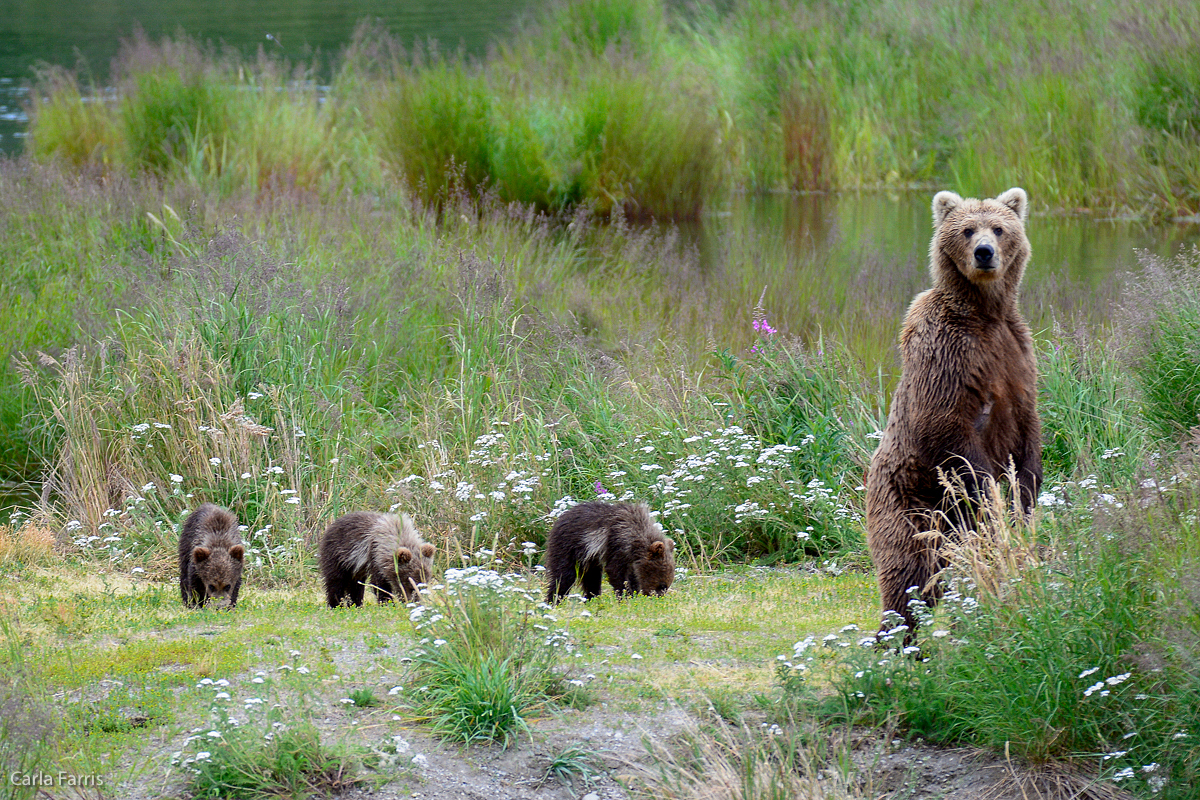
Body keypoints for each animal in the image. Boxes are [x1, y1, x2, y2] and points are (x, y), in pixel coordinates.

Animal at [544, 503, 676, 604]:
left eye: (666, 585)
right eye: (662, 585)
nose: (657, 597)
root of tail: (559, 519)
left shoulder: (630, 558)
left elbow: (632, 576)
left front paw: (633, 593)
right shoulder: (616, 544)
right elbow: (615, 572)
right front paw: (626, 596)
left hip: (589, 558)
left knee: (592, 577)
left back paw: (593, 599)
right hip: (568, 547)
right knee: (563, 576)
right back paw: (553, 601)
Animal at [864, 185, 1041, 638]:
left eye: (999, 228)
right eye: (966, 230)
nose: (984, 252)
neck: (983, 312)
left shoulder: (1016, 355)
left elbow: (1027, 430)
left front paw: (1025, 493)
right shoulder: (946, 351)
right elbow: (946, 428)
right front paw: (989, 490)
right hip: (911, 501)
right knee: (909, 572)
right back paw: (896, 637)